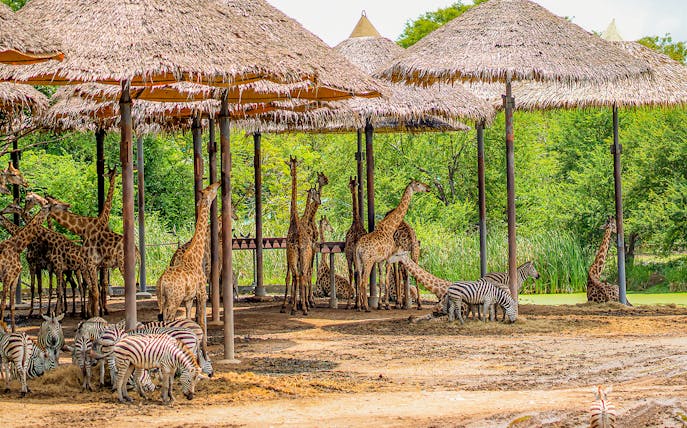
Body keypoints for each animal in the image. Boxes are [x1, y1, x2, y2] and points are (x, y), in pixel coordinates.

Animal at [0, 193, 70, 331]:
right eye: (55, 204)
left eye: (11, 206)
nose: (67, 205)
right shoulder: (14, 273)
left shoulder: (24, 272)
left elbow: (13, 304)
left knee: (64, 286)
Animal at [157, 181, 220, 355]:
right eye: (211, 189)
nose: (219, 183)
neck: (195, 256)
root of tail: (162, 282)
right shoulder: (202, 292)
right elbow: (202, 320)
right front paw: (205, 351)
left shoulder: (189, 298)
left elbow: (189, 318)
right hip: (173, 299)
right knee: (168, 319)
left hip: (162, 299)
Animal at [354, 180, 430, 311]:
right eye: (418, 184)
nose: (428, 188)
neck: (390, 227)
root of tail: (358, 247)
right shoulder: (389, 258)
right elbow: (389, 279)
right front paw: (387, 305)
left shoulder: (380, 260)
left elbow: (382, 280)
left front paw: (381, 304)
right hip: (368, 261)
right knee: (364, 281)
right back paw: (367, 307)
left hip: (359, 261)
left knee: (359, 280)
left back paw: (360, 306)